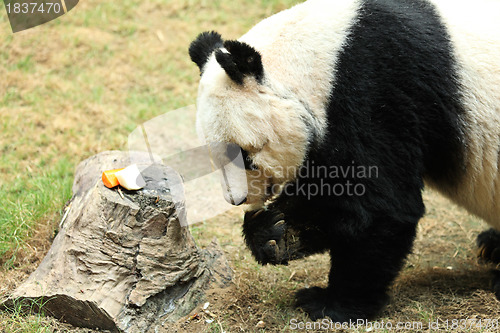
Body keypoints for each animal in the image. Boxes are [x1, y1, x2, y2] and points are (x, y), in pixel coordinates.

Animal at [188, 0, 500, 320]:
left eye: (245, 157)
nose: (237, 200)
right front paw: (274, 232)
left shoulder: (379, 86)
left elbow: (377, 205)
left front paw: (330, 303)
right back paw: (491, 246)